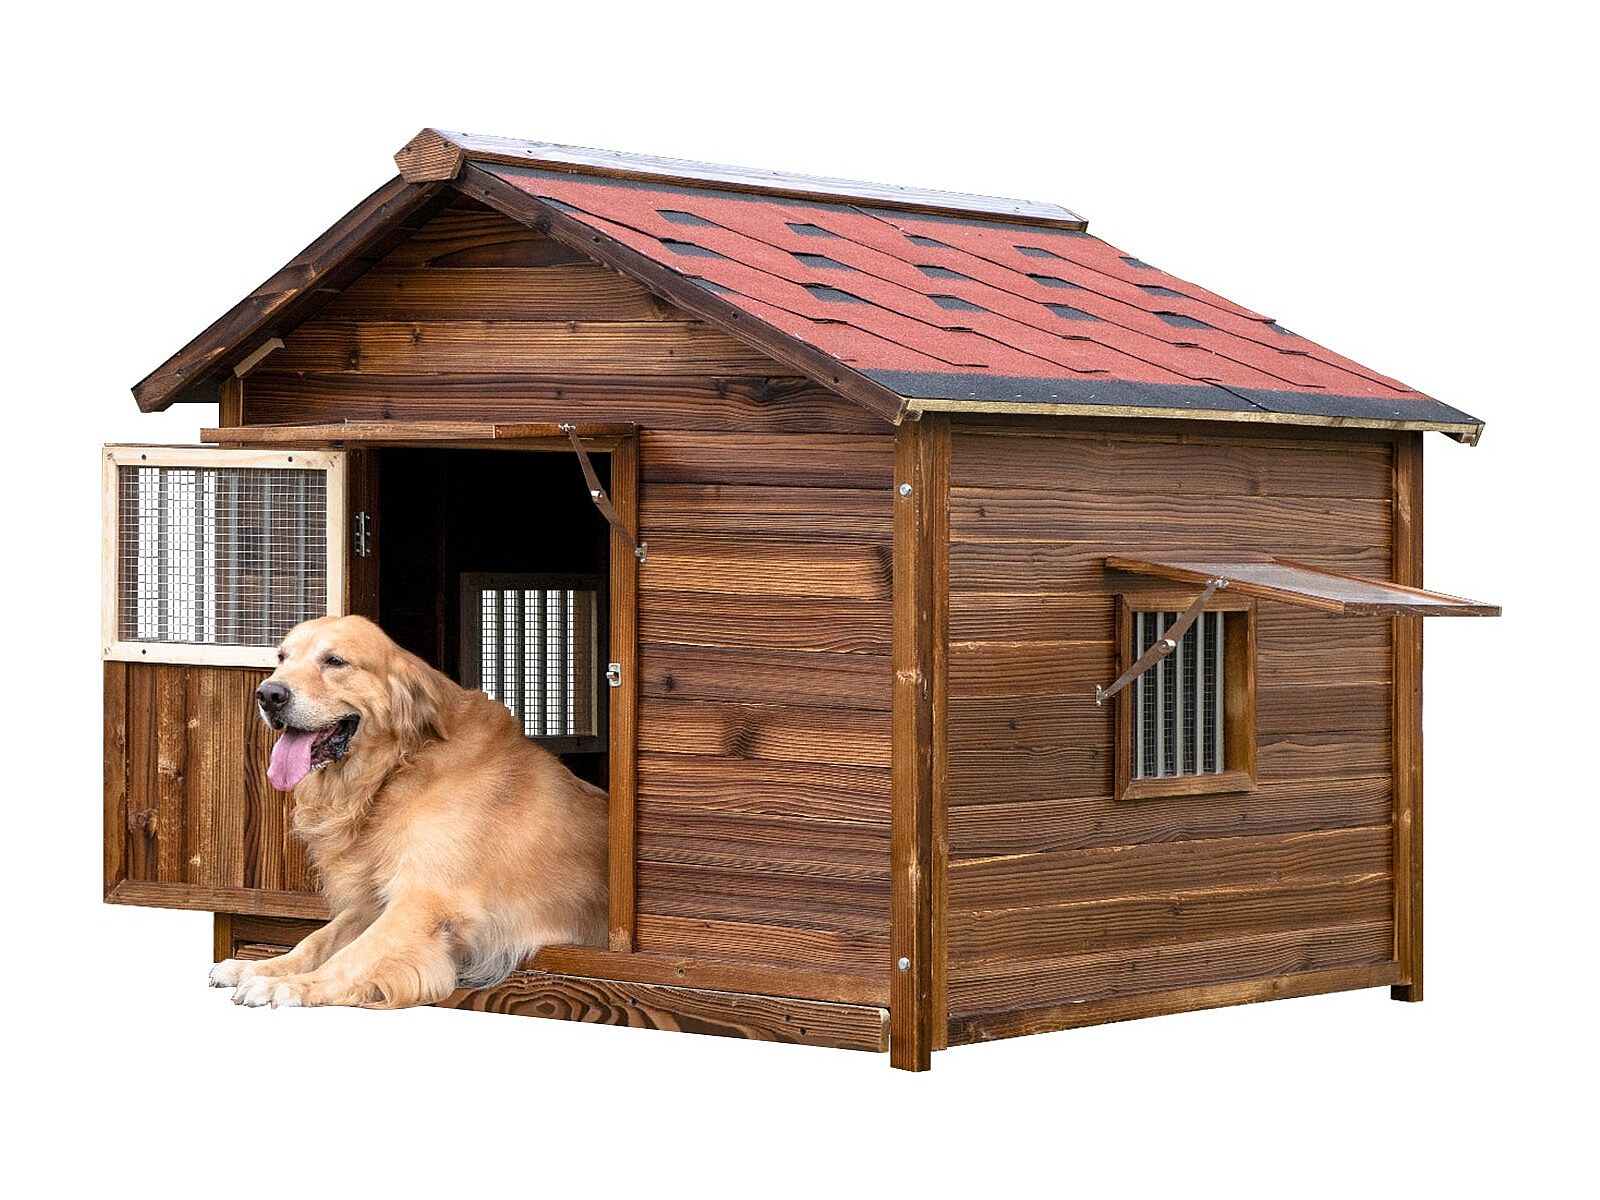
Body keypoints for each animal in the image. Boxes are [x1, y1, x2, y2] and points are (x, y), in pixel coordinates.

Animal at [209, 614, 608, 1008]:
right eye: (281, 658)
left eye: (335, 661)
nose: (268, 694)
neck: (397, 768)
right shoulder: (377, 898)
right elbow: (318, 939)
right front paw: (256, 967)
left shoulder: (424, 899)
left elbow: (353, 955)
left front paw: (289, 986)